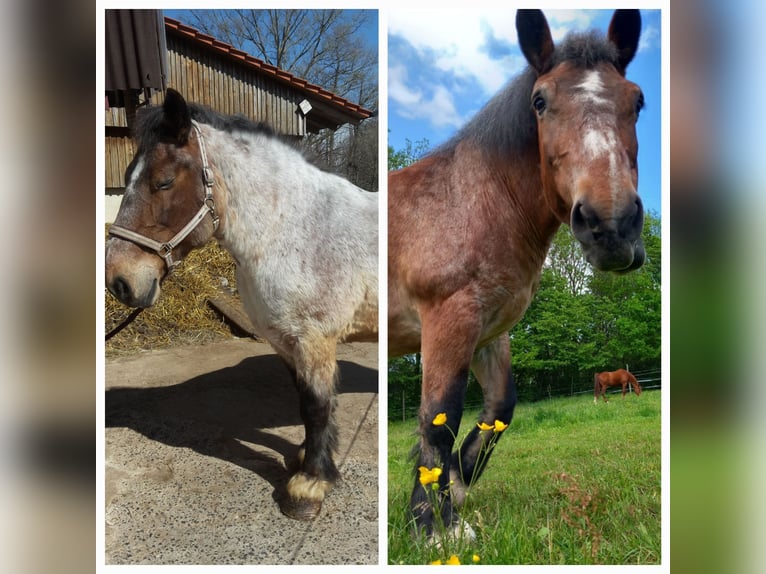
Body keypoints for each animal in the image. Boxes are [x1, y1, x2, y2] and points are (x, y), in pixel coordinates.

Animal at [105, 89, 380, 520]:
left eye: (163, 181)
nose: (119, 281)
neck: (296, 230)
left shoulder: (314, 341)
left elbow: (317, 406)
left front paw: (309, 486)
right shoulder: (285, 341)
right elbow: (305, 402)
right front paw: (303, 459)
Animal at [390, 9, 648, 540]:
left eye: (637, 100)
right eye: (540, 101)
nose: (611, 227)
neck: (471, 201)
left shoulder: (489, 329)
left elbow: (500, 409)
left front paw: (454, 488)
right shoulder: (448, 318)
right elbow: (438, 415)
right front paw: (434, 525)